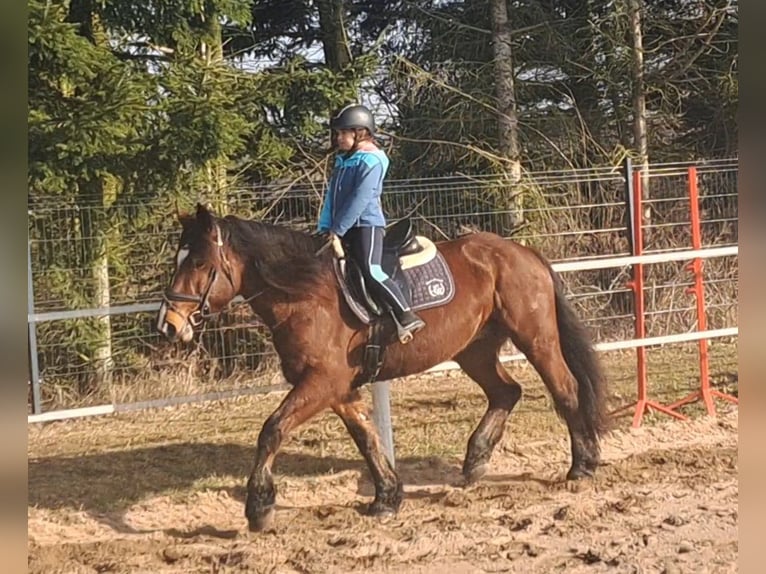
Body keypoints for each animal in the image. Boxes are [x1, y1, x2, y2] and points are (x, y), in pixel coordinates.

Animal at [158, 204, 612, 536]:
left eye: (198, 262)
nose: (169, 324)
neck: (306, 293)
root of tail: (521, 252)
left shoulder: (321, 382)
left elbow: (272, 430)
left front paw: (259, 507)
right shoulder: (338, 389)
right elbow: (367, 439)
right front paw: (387, 498)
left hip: (536, 339)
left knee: (565, 389)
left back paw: (582, 464)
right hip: (474, 350)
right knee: (506, 392)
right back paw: (476, 459)